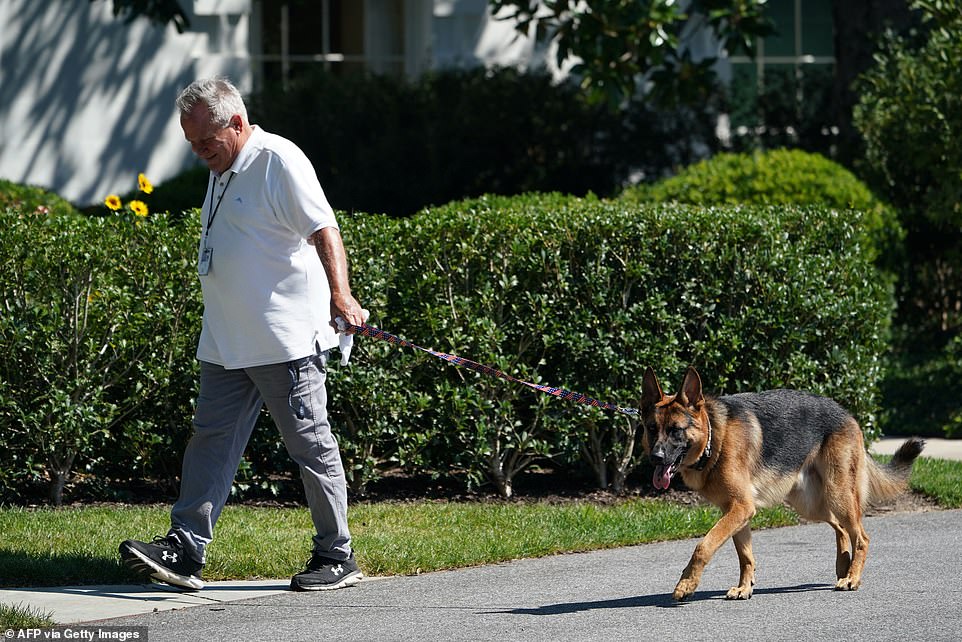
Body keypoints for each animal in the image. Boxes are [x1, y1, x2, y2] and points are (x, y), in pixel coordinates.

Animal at [636, 364, 924, 600]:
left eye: (676, 430)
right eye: (652, 429)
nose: (656, 457)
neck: (714, 439)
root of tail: (847, 414)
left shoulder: (740, 508)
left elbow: (703, 545)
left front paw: (686, 584)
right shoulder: (737, 511)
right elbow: (745, 556)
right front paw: (745, 588)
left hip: (837, 493)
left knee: (861, 536)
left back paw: (852, 577)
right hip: (810, 503)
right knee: (842, 529)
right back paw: (843, 566)